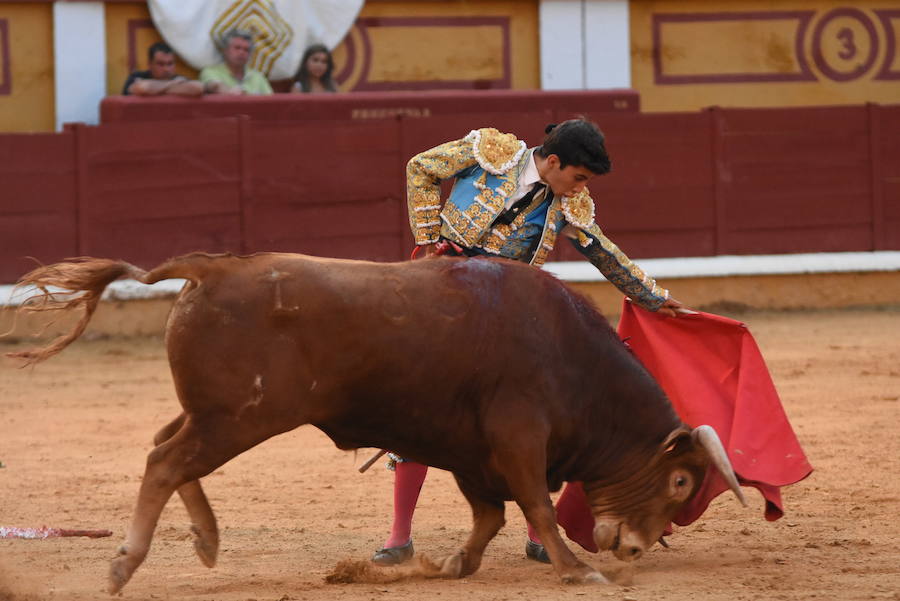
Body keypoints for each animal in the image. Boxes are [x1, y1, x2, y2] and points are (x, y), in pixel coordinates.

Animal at [7, 252, 744, 592]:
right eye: (681, 482)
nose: (635, 549)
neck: (571, 355)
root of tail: (211, 267)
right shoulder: (517, 435)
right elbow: (535, 503)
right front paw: (576, 570)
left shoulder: (474, 449)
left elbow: (489, 513)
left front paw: (457, 563)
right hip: (238, 418)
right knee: (164, 460)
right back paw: (124, 566)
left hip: (214, 413)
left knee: (165, 444)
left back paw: (208, 540)